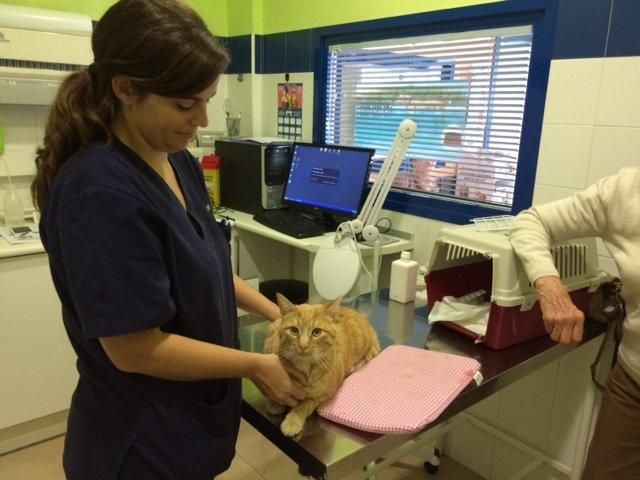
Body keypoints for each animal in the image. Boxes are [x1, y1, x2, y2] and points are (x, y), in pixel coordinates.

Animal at [262, 294, 378, 436]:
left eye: (316, 332)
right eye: (294, 331)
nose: (303, 346)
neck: (304, 366)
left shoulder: (323, 395)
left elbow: (304, 405)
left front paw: (293, 421)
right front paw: (275, 402)